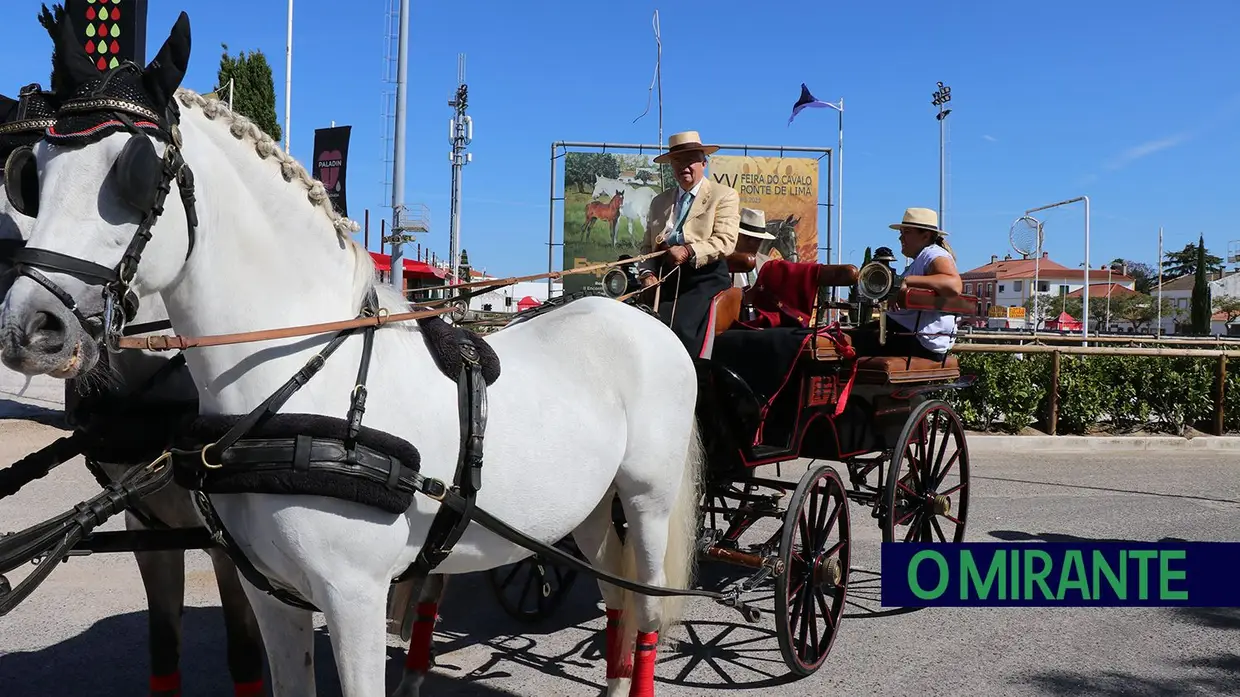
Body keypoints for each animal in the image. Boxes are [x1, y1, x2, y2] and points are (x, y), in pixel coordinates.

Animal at [2, 12, 709, 694]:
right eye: (33, 172)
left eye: (137, 170)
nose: (29, 327)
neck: (300, 382)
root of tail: (635, 313)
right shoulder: (272, 594)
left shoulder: (355, 600)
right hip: (582, 509)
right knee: (615, 598)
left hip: (647, 501)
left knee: (645, 609)